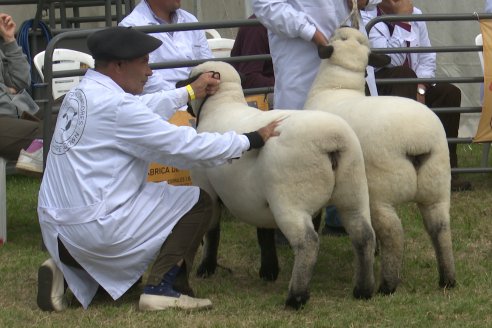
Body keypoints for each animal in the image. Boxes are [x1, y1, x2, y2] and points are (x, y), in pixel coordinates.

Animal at [185, 60, 376, 308]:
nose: (187, 107)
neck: (221, 105)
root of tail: (333, 141)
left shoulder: (208, 188)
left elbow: (212, 232)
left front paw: (206, 268)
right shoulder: (256, 200)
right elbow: (264, 234)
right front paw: (269, 271)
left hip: (289, 200)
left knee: (308, 243)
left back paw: (296, 297)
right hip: (353, 191)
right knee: (364, 236)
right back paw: (363, 289)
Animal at [304, 26, 458, 294]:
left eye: (340, 38)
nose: (341, 26)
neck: (337, 86)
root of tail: (418, 143)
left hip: (381, 189)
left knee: (393, 231)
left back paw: (387, 285)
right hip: (436, 185)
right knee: (440, 227)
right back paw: (447, 279)